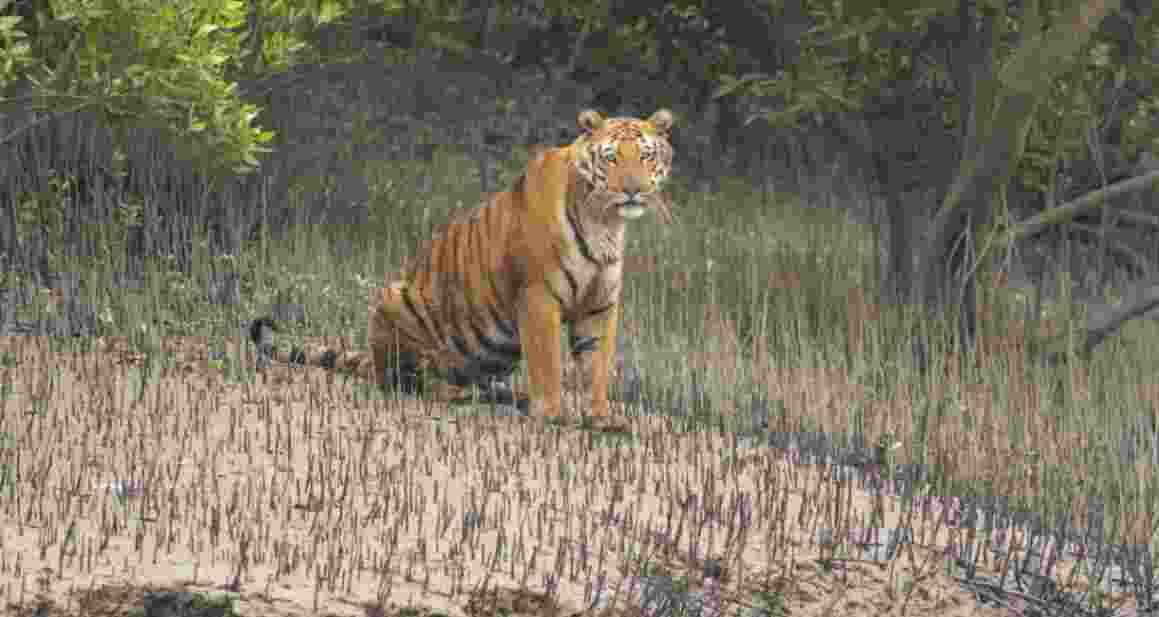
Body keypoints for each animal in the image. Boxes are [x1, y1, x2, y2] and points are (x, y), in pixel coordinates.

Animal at [250, 108, 676, 427]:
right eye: (612, 157)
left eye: (645, 155)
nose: (633, 189)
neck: (605, 221)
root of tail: (372, 356)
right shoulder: (538, 297)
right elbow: (548, 362)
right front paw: (553, 413)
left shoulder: (599, 305)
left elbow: (597, 365)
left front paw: (602, 417)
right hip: (396, 302)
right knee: (406, 381)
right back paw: (456, 392)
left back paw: (505, 394)